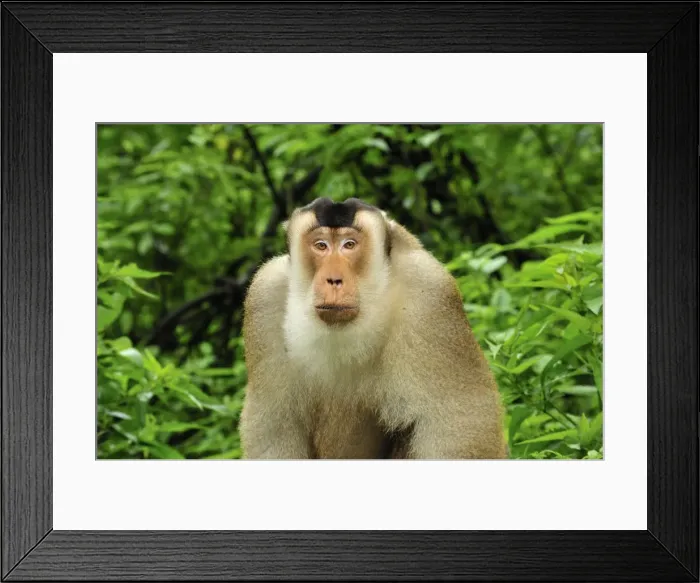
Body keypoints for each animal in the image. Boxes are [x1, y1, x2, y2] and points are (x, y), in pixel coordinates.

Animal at [239, 197, 507, 459]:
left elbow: (459, 425)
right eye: (321, 245)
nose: (334, 279)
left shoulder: (430, 294)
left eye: (349, 244)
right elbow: (274, 428)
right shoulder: (264, 295)